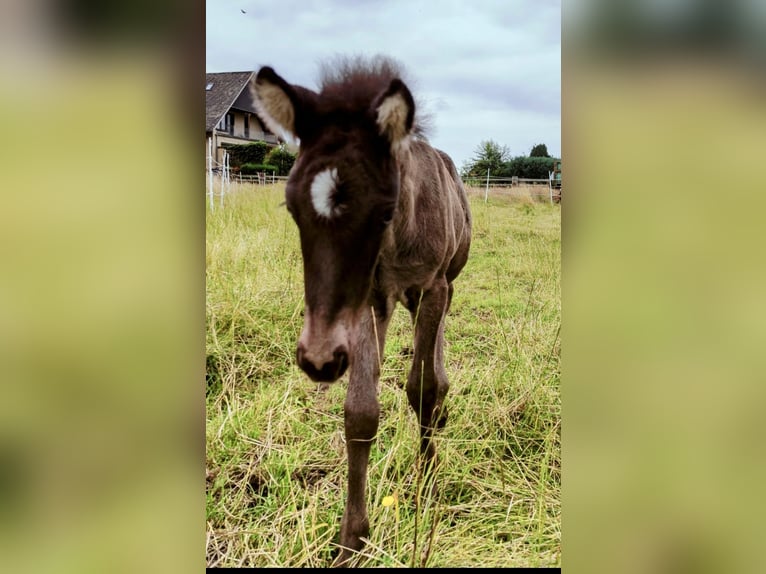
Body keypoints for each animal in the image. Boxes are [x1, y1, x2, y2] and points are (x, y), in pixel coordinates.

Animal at [252, 55, 472, 568]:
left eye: (384, 211)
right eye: (291, 207)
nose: (318, 359)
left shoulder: (430, 288)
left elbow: (420, 387)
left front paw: (428, 477)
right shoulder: (371, 301)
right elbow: (360, 414)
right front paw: (351, 539)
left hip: (445, 284)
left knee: (435, 349)